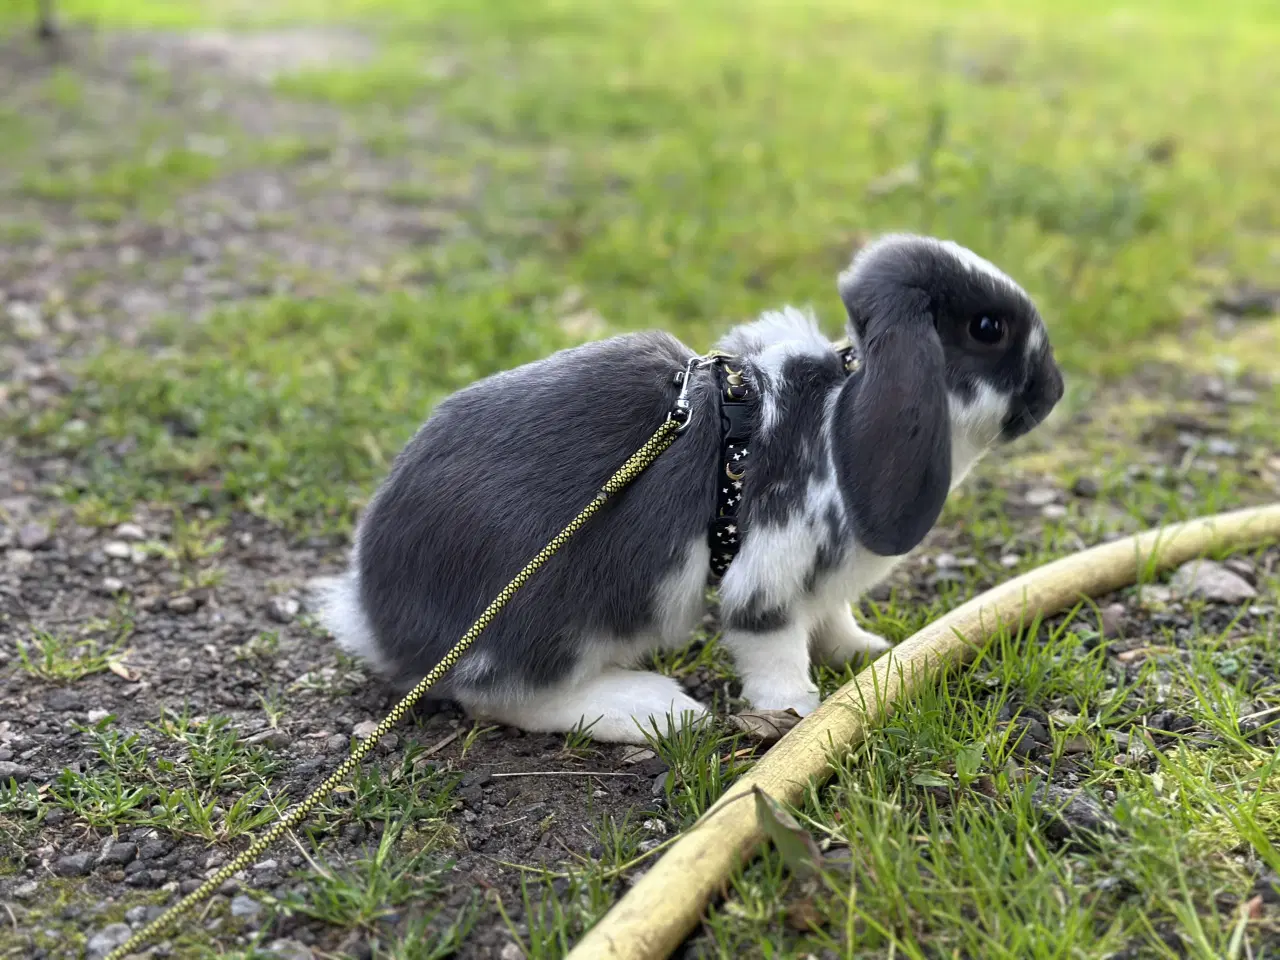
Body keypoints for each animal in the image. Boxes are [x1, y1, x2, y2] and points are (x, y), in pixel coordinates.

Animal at [314, 231, 1064, 742]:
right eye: (988, 328)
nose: (1053, 392)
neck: (837, 418)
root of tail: (379, 619)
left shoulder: (823, 588)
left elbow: (833, 620)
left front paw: (868, 654)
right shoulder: (767, 580)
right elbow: (774, 648)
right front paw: (798, 711)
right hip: (549, 619)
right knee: (501, 695)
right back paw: (656, 708)